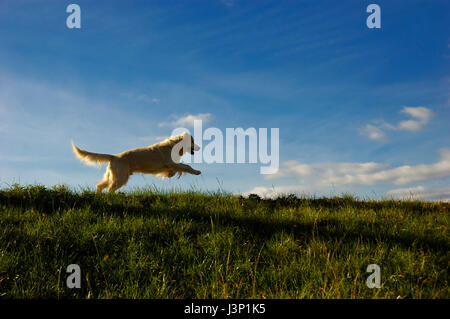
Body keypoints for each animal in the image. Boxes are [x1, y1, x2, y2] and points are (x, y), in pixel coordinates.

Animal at [71, 132, 200, 192]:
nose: (199, 147)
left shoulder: (170, 165)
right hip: (120, 177)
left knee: (100, 185)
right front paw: (197, 172)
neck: (172, 146)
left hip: (114, 176)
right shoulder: (170, 162)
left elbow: (177, 169)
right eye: (192, 142)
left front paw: (171, 174)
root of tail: (114, 156)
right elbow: (186, 166)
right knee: (109, 189)